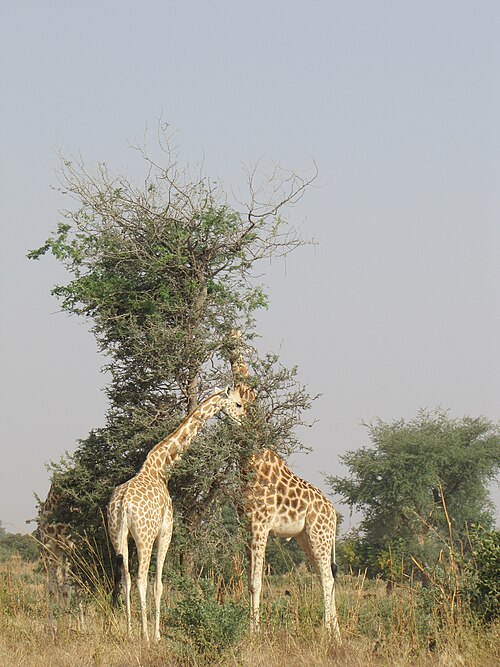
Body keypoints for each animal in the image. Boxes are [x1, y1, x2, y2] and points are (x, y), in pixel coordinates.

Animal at [107, 385, 245, 642]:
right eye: (239, 404)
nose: (244, 421)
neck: (162, 469)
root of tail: (122, 505)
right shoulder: (165, 531)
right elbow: (159, 584)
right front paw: (157, 635)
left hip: (117, 536)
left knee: (126, 577)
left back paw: (130, 632)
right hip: (144, 537)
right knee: (141, 578)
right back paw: (144, 635)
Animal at [227, 332, 341, 641]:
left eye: (238, 338)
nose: (229, 339)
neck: (251, 462)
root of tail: (334, 513)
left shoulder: (260, 523)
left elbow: (256, 582)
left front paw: (254, 631)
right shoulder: (246, 525)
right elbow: (249, 580)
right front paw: (250, 625)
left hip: (320, 535)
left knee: (328, 578)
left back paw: (329, 632)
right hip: (305, 538)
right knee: (323, 577)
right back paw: (335, 632)